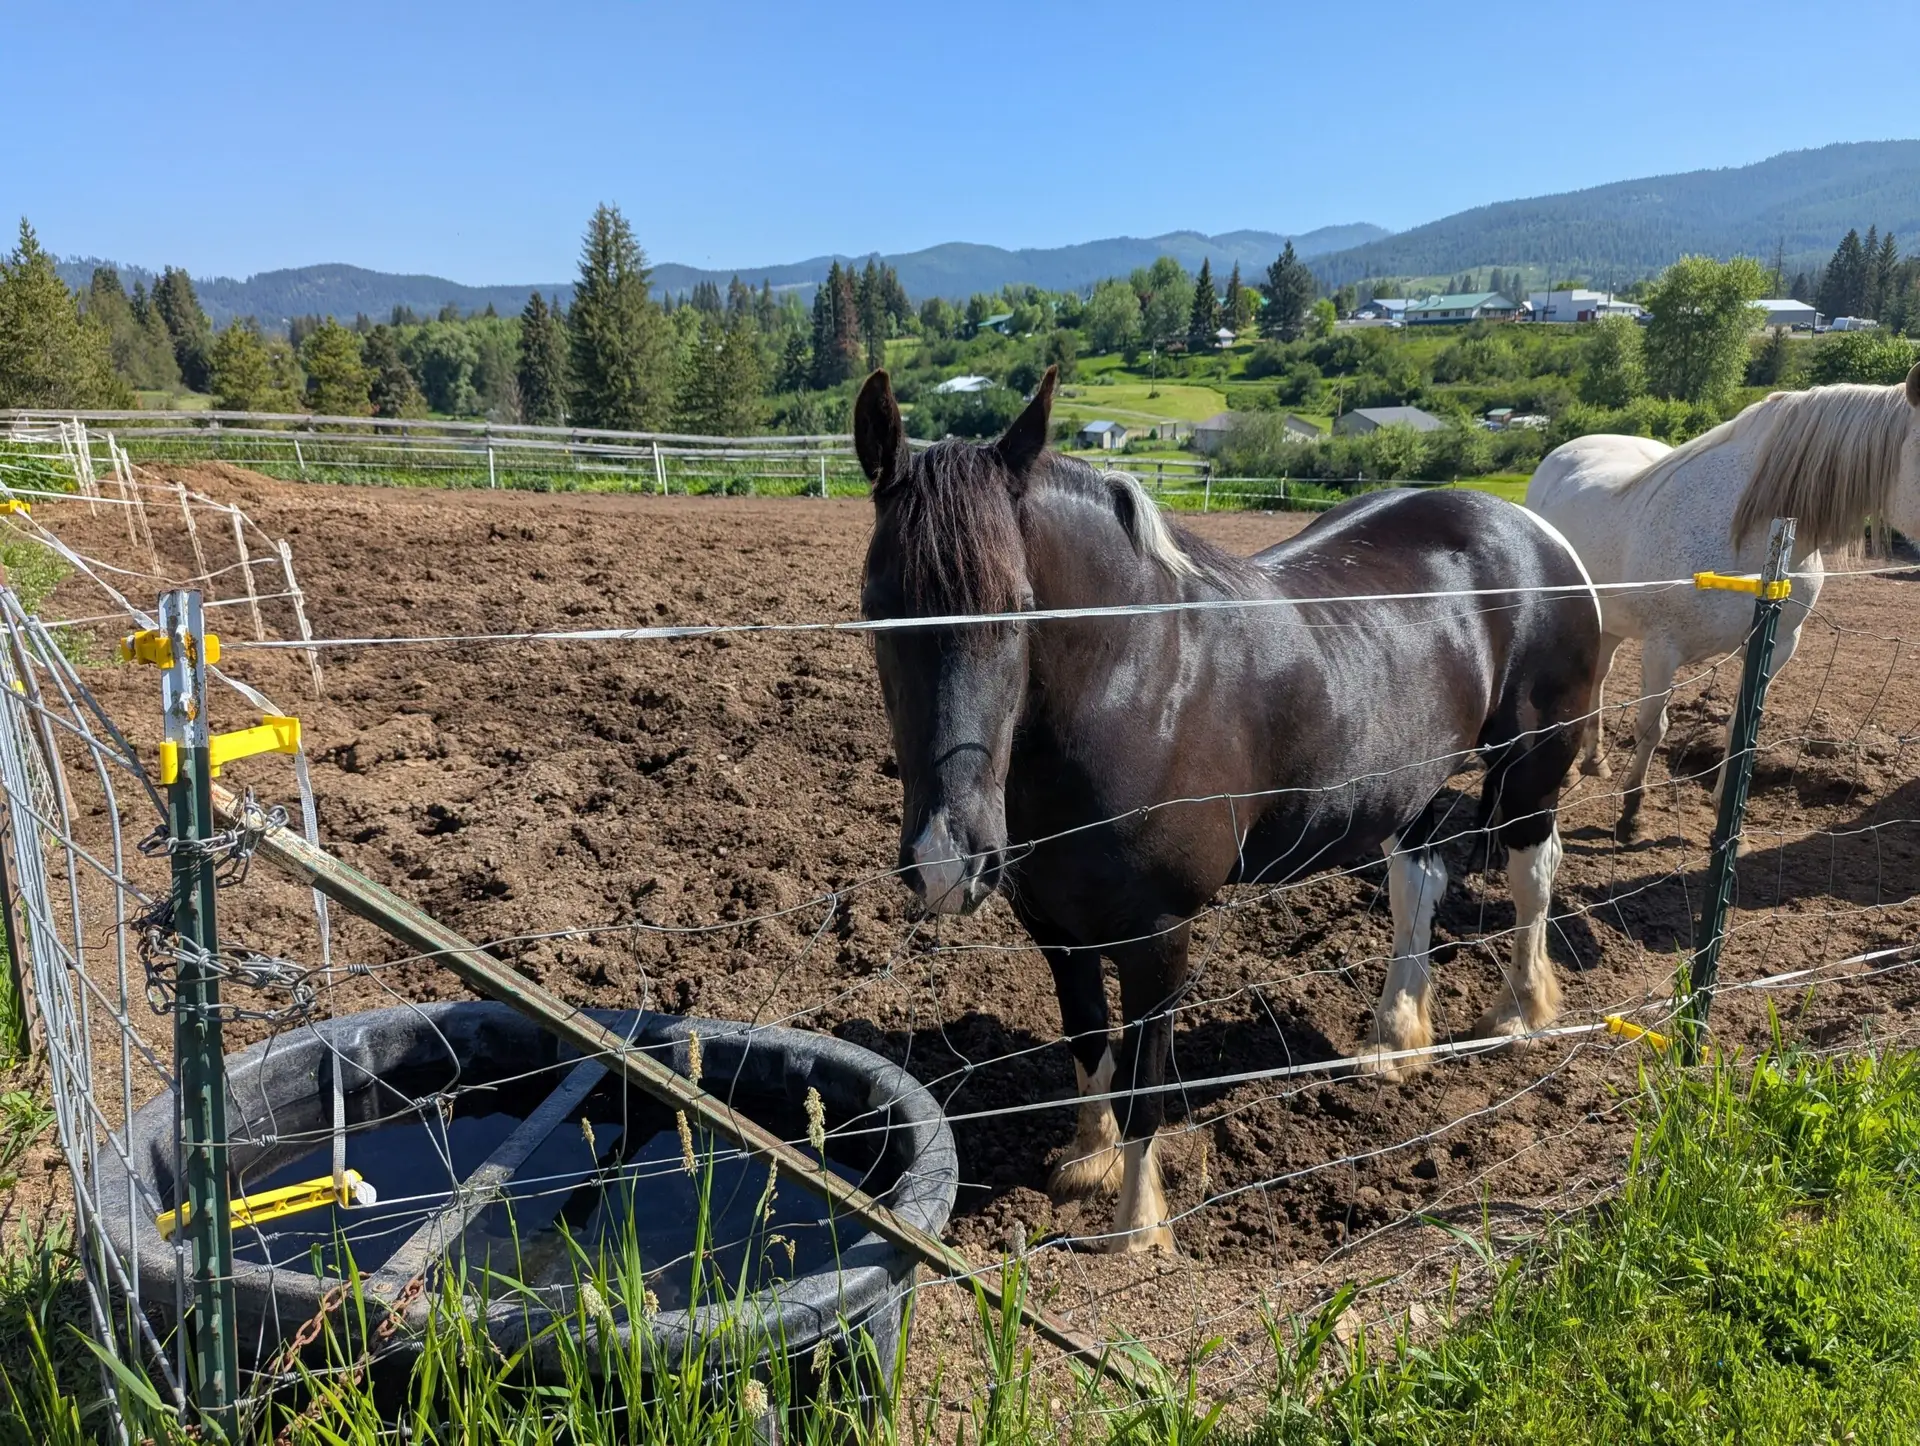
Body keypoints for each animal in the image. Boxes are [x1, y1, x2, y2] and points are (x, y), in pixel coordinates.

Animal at [855, 366, 1600, 1252]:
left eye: (1021, 604)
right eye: (874, 605)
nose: (948, 858)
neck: (1136, 683)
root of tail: (1537, 532)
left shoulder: (1159, 936)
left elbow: (1144, 1083)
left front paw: (1137, 1231)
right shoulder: (1055, 927)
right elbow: (1087, 1040)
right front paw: (1085, 1163)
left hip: (1532, 770)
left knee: (1530, 879)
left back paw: (1521, 1016)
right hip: (1408, 786)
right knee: (1419, 885)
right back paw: (1394, 1041)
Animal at [1527, 363, 1920, 841]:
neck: (1757, 540)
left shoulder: (1777, 645)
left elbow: (1739, 731)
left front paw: (1726, 820)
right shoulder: (1662, 649)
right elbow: (1651, 727)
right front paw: (1632, 813)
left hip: (1611, 620)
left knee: (1598, 676)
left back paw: (1594, 761)